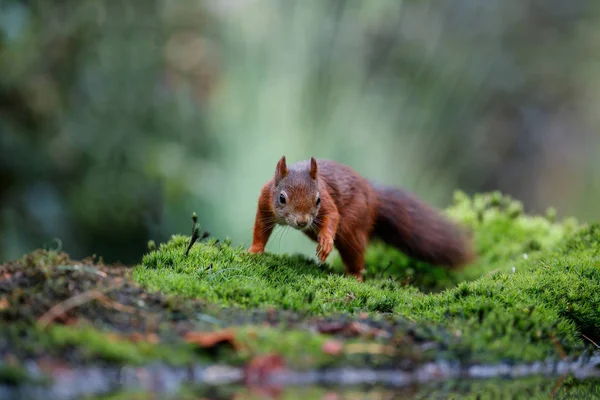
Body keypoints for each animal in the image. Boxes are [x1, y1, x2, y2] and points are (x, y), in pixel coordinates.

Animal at [247, 156, 474, 282]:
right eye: (282, 198)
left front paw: (326, 241)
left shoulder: (328, 199)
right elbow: (260, 227)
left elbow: (332, 215)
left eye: (318, 199)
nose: (302, 222)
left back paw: (355, 275)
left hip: (352, 224)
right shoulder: (265, 201)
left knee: (354, 252)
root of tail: (373, 198)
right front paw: (255, 251)